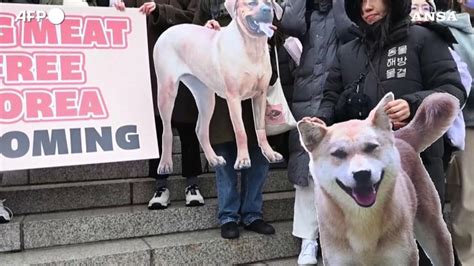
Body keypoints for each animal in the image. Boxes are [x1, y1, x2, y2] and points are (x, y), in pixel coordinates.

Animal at [298, 92, 458, 264]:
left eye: (371, 147)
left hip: (434, 231)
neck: (363, 217)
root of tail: (400, 137)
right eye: (338, 153)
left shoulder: (402, 257)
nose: (362, 173)